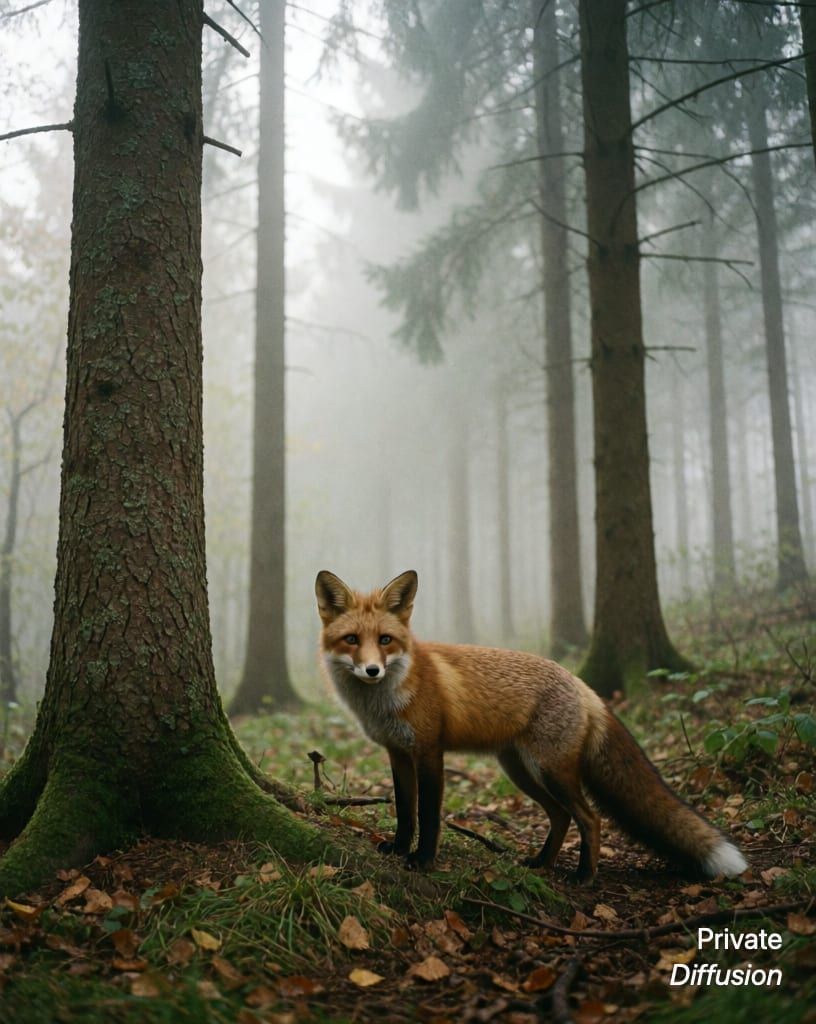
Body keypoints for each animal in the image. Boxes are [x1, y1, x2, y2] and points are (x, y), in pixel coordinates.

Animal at [315, 569, 748, 881]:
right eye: (351, 639)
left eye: (385, 640)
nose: (372, 670)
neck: (388, 696)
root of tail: (581, 684)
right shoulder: (398, 753)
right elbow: (406, 811)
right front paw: (399, 848)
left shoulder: (429, 752)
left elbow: (429, 815)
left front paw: (422, 860)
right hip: (521, 770)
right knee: (560, 817)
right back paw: (541, 863)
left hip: (551, 770)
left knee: (588, 818)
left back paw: (583, 876)